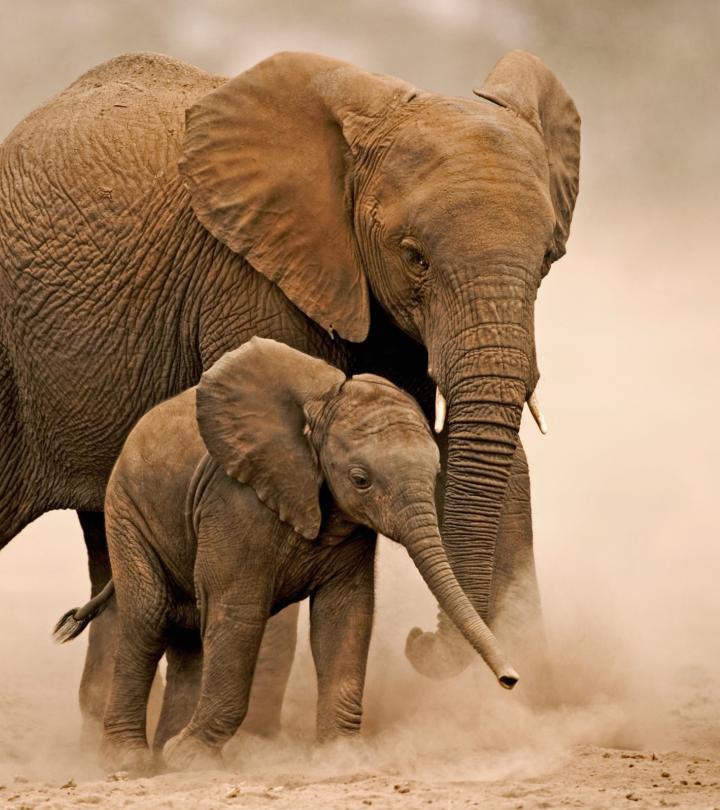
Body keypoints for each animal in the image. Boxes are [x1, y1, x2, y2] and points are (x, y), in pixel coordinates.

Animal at [56, 336, 516, 772]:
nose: (511, 680)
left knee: (187, 632)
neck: (319, 411)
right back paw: (130, 761)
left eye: (436, 473)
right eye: (360, 479)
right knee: (149, 618)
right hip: (126, 510)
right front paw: (192, 758)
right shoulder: (235, 501)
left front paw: (342, 757)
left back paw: (161, 757)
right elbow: (239, 616)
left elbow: (345, 615)